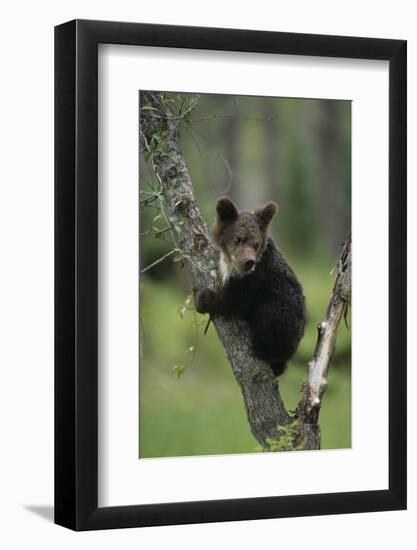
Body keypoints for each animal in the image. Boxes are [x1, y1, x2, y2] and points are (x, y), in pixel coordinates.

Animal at [193, 196, 306, 378]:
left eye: (256, 243)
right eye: (238, 238)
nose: (248, 262)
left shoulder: (254, 281)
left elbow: (230, 302)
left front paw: (200, 296)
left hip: (288, 321)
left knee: (270, 316)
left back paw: (264, 351)